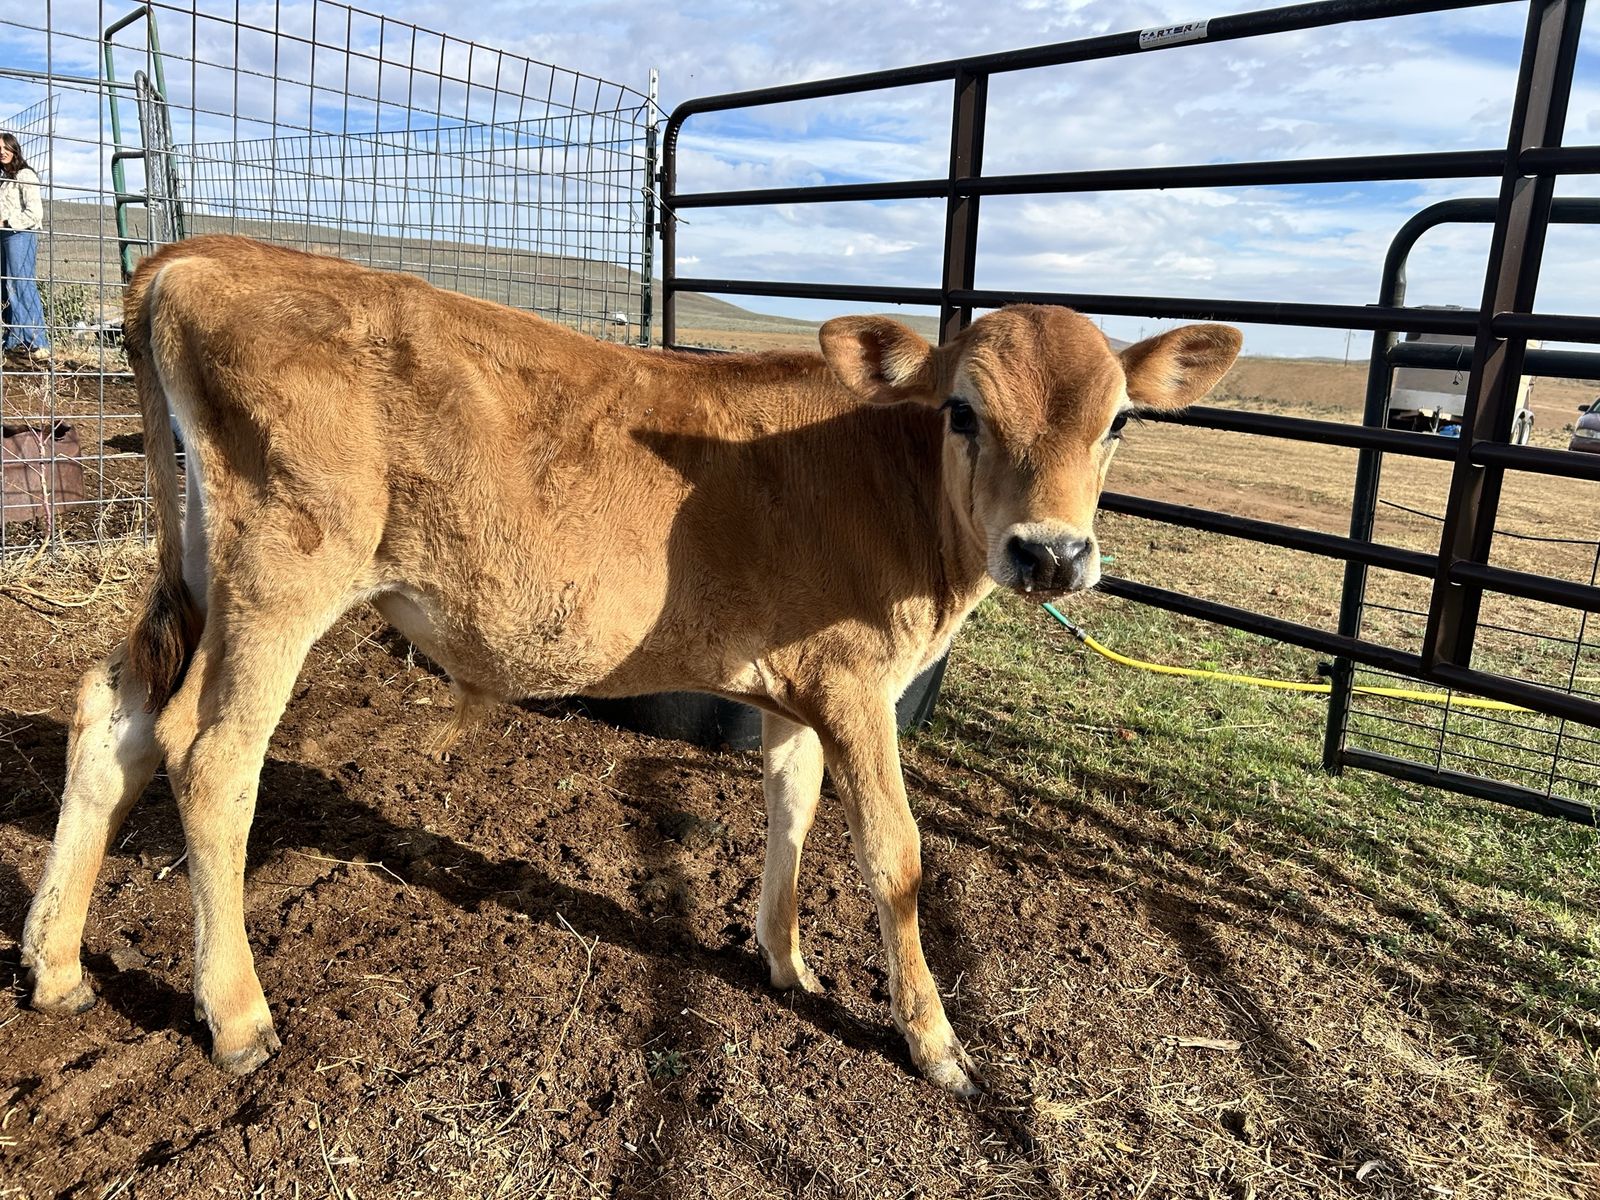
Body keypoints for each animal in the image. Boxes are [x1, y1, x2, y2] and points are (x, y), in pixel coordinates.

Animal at [20, 236, 1240, 1095]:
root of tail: (202, 256)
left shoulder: (799, 685)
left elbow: (789, 809)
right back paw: (235, 1017)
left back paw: (56, 963)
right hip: (283, 570)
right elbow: (895, 859)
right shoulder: (858, 686)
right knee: (211, 755)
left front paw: (785, 962)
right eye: (962, 410)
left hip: (193, 563)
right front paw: (935, 1043)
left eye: (1120, 422)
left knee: (111, 715)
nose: (1051, 553)